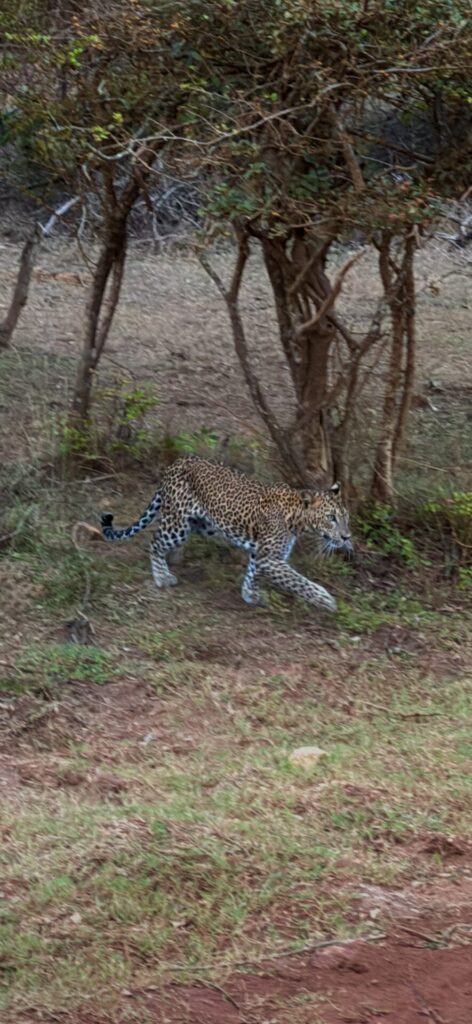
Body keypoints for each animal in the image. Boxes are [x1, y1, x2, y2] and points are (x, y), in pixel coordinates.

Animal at [100, 456, 352, 612]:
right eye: (331, 518)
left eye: (345, 517)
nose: (346, 537)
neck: (297, 519)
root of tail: (177, 462)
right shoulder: (271, 559)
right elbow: (298, 581)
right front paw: (325, 599)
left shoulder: (260, 553)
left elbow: (251, 573)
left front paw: (249, 594)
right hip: (178, 524)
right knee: (155, 542)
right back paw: (162, 576)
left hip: (201, 524)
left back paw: (174, 560)